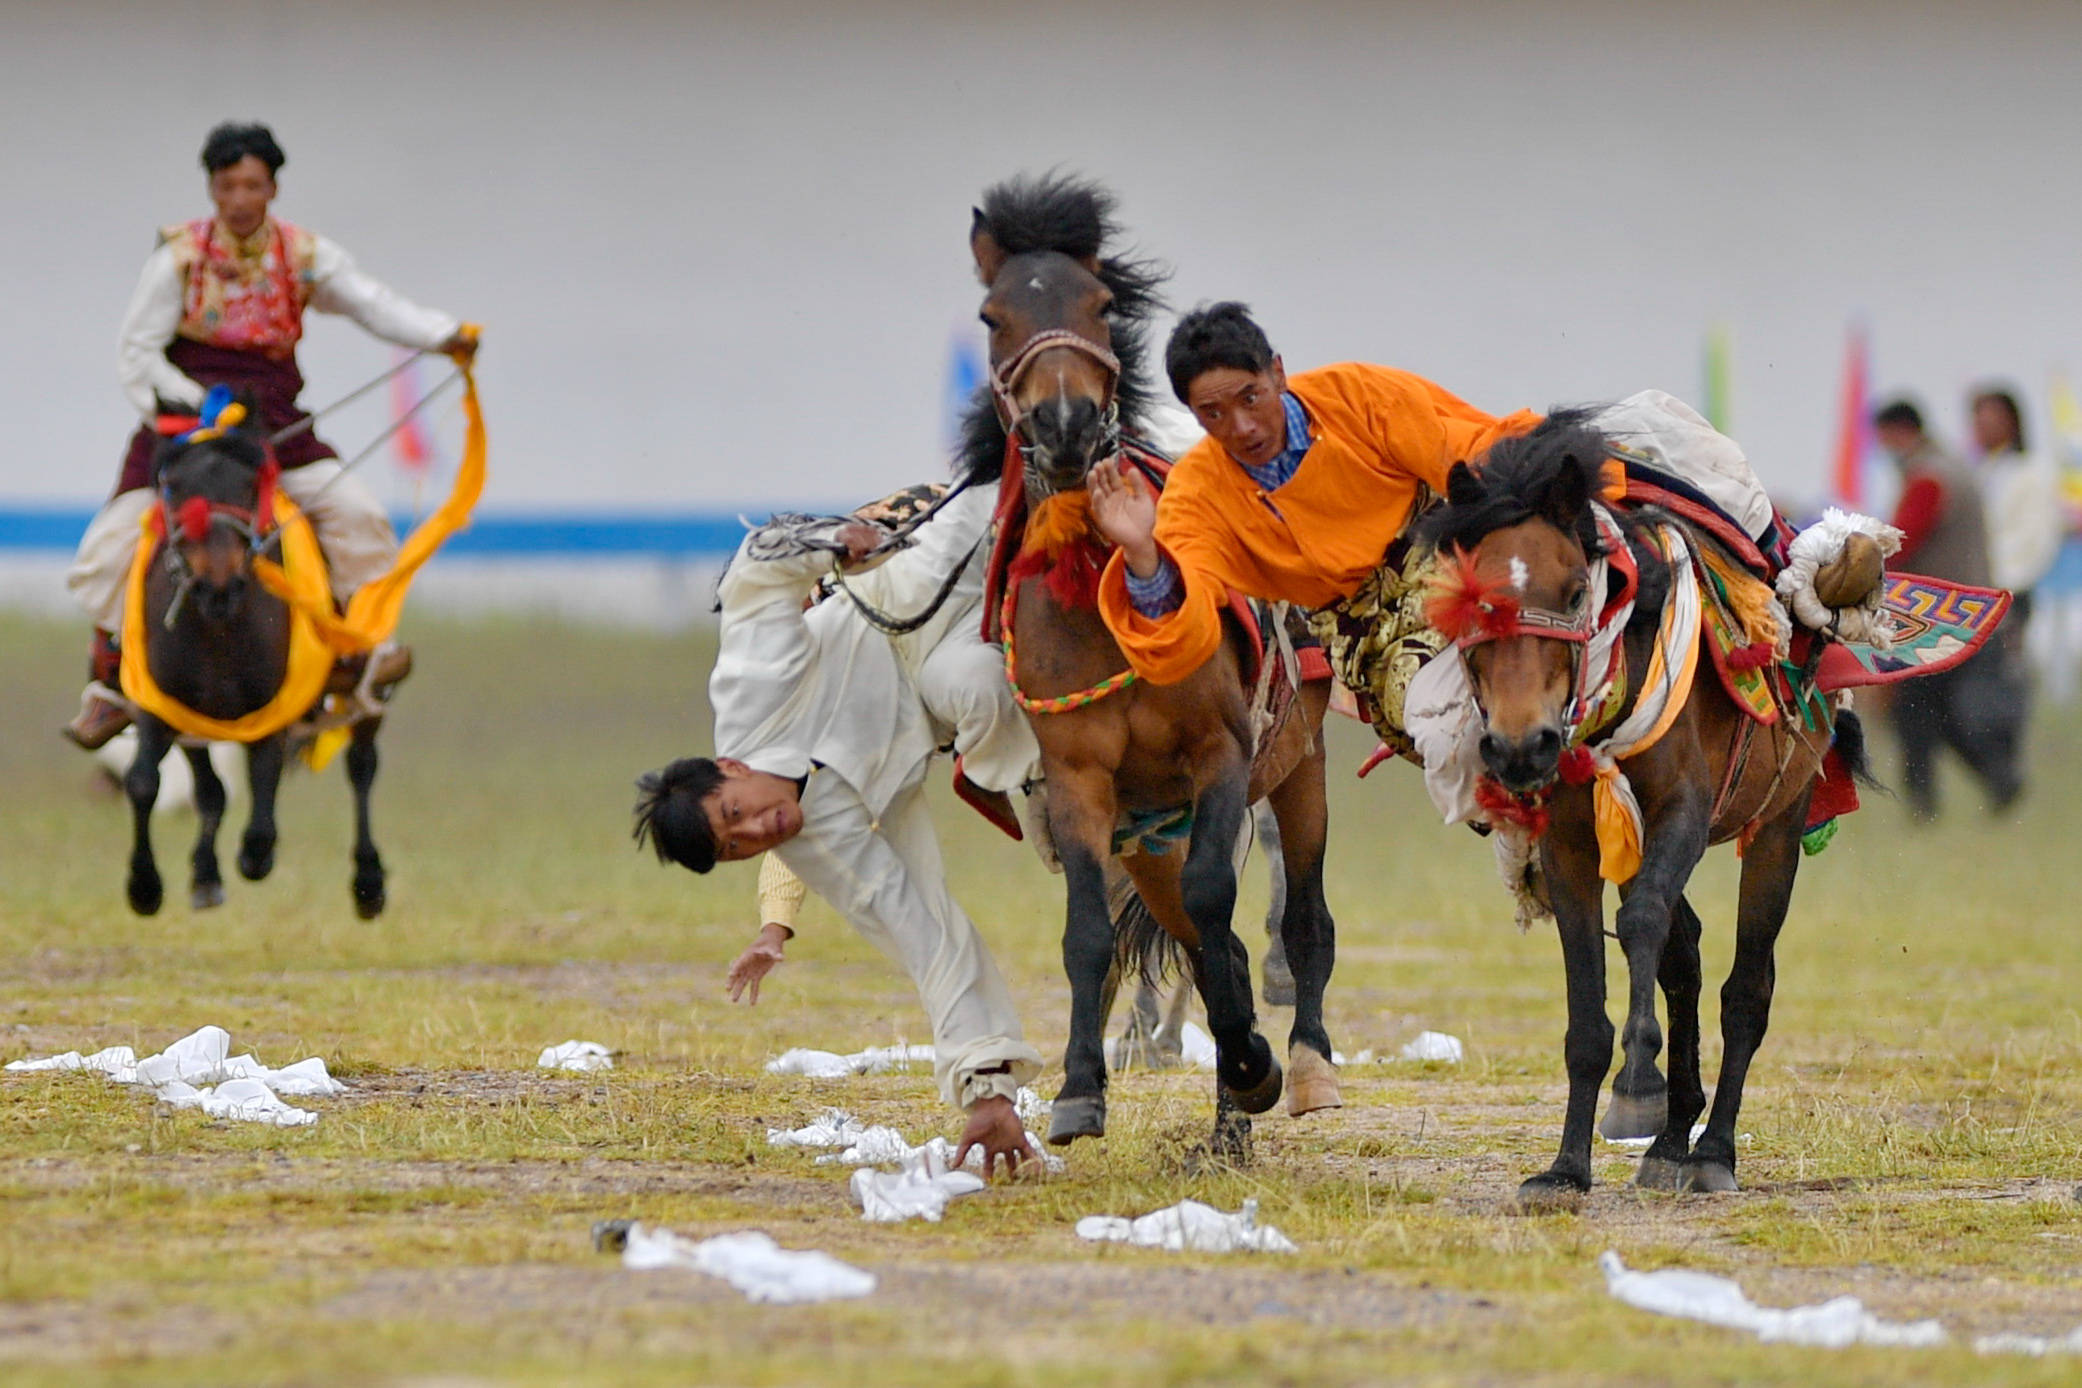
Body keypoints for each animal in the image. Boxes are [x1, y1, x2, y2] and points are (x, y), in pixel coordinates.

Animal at [119, 424, 391, 923]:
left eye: (249, 487)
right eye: (173, 487)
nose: (217, 587)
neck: (218, 630)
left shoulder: (274, 709)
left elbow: (264, 790)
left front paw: (255, 855)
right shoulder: (160, 705)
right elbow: (145, 781)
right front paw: (144, 886)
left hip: (366, 687)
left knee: (362, 766)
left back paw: (368, 882)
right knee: (209, 789)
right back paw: (205, 875)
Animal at [961, 173, 1340, 1157]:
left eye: (1100, 304)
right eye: (992, 315)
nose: (1063, 423)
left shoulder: (1222, 757)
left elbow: (1220, 904)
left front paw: (1253, 1064)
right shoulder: (1079, 784)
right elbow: (1091, 938)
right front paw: (1078, 1092)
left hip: (1297, 769)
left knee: (1300, 919)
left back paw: (1297, 1068)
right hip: (1148, 836)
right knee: (1204, 943)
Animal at [1407, 412, 1865, 1206]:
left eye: (1571, 592)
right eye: (1474, 602)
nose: (1521, 745)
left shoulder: (1682, 807)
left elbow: (1645, 920)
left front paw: (1639, 1086)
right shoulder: (1570, 843)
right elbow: (1587, 1010)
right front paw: (1567, 1166)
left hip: (1778, 823)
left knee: (1746, 987)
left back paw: (1711, 1149)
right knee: (1686, 959)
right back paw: (1674, 1140)